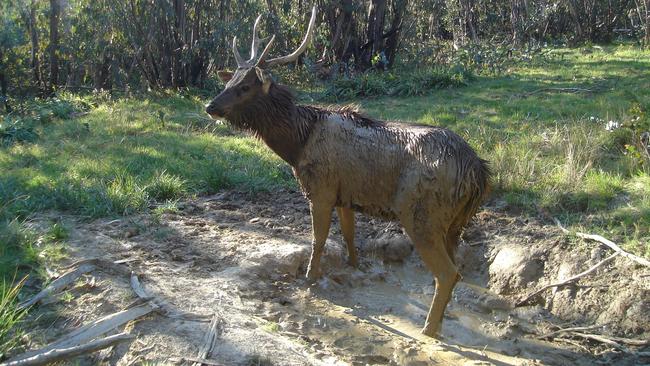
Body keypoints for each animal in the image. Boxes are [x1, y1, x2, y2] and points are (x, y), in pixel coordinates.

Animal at [205, 7, 488, 338]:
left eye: (245, 86)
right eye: (231, 80)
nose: (210, 106)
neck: (297, 144)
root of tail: (477, 171)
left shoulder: (321, 189)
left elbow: (319, 238)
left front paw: (310, 278)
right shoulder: (346, 195)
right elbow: (350, 235)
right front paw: (354, 267)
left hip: (422, 214)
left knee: (448, 273)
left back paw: (428, 329)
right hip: (455, 223)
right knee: (454, 269)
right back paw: (439, 320)